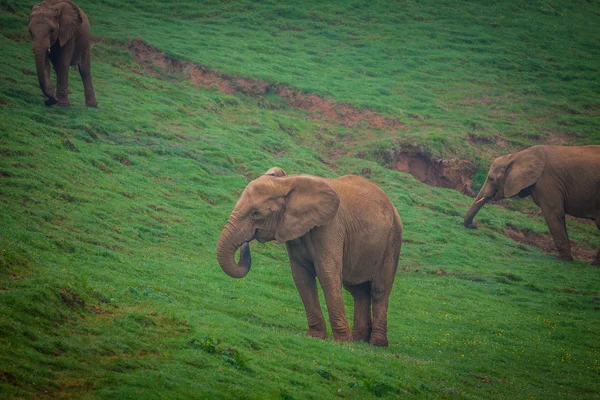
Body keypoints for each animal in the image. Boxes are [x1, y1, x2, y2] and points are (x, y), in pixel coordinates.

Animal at [216, 167, 404, 346]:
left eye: (256, 213)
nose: (246, 243)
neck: (287, 182)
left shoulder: (330, 226)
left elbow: (327, 273)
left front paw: (342, 341)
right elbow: (301, 277)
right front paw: (316, 336)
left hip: (393, 239)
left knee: (379, 290)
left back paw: (377, 343)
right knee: (357, 291)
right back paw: (359, 339)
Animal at [464, 145, 600, 266]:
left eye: (491, 179)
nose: (474, 226)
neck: (517, 155)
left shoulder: (547, 182)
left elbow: (554, 213)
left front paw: (564, 259)